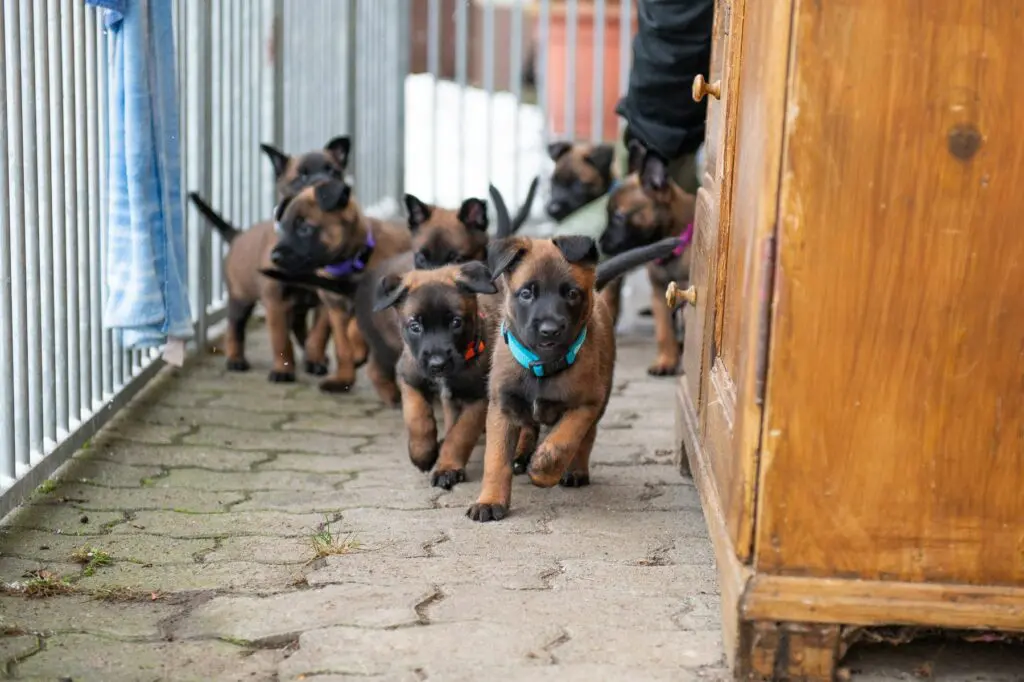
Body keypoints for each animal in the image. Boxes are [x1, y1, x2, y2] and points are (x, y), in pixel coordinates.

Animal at [188, 135, 352, 378]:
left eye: (333, 171)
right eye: (302, 176)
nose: (326, 185)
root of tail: (238, 235)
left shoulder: (325, 301)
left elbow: (319, 334)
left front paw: (314, 360)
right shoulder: (275, 300)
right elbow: (280, 338)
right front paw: (283, 371)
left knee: (299, 328)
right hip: (241, 298)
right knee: (235, 327)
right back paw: (235, 359)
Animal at [272, 178, 415, 395]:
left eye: (305, 228)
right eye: (283, 229)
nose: (274, 257)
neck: (355, 260)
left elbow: (355, 328)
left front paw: (357, 350)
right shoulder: (335, 309)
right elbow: (342, 346)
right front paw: (343, 379)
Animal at [376, 260, 503, 489]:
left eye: (456, 322)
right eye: (415, 326)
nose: (438, 364)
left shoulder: (479, 398)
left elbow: (461, 434)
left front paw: (447, 468)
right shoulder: (409, 378)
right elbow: (417, 417)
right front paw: (422, 454)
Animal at [466, 233, 679, 520]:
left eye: (571, 293)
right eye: (526, 294)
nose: (550, 330)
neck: (540, 365)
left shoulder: (586, 404)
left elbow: (563, 441)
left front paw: (543, 471)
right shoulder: (502, 406)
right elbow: (496, 459)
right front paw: (489, 501)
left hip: (602, 394)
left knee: (586, 437)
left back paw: (575, 470)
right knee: (529, 426)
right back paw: (522, 454)